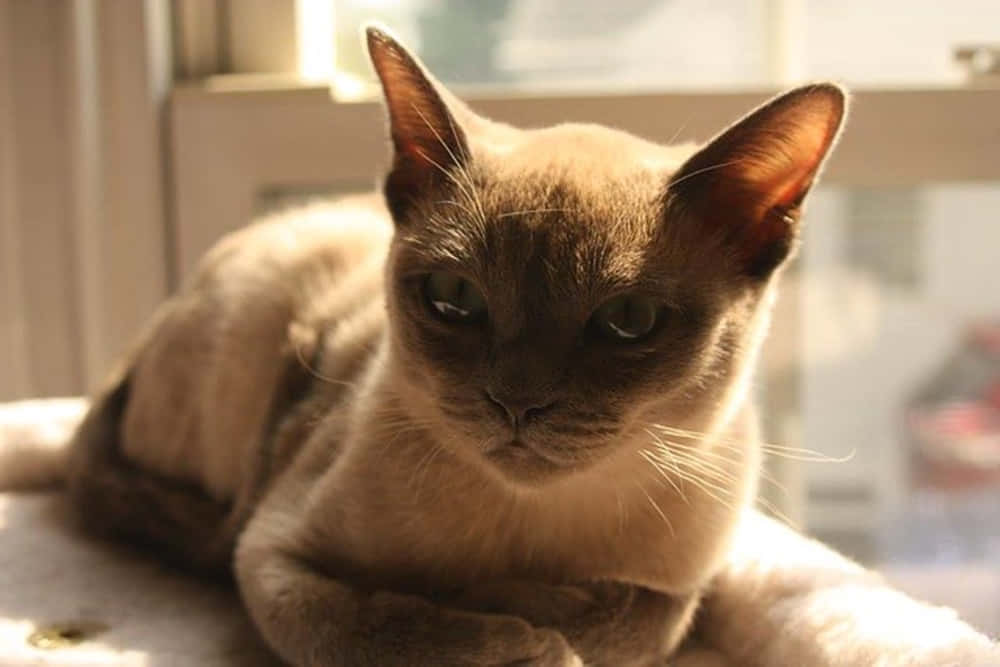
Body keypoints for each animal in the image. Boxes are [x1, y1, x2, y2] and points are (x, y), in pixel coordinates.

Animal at [62, 27, 848, 667]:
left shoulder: (684, 584)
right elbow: (372, 626)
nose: (517, 404)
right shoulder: (272, 551)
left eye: (629, 319)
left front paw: (523, 607)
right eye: (454, 298)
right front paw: (517, 639)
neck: (531, 526)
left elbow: (637, 618)